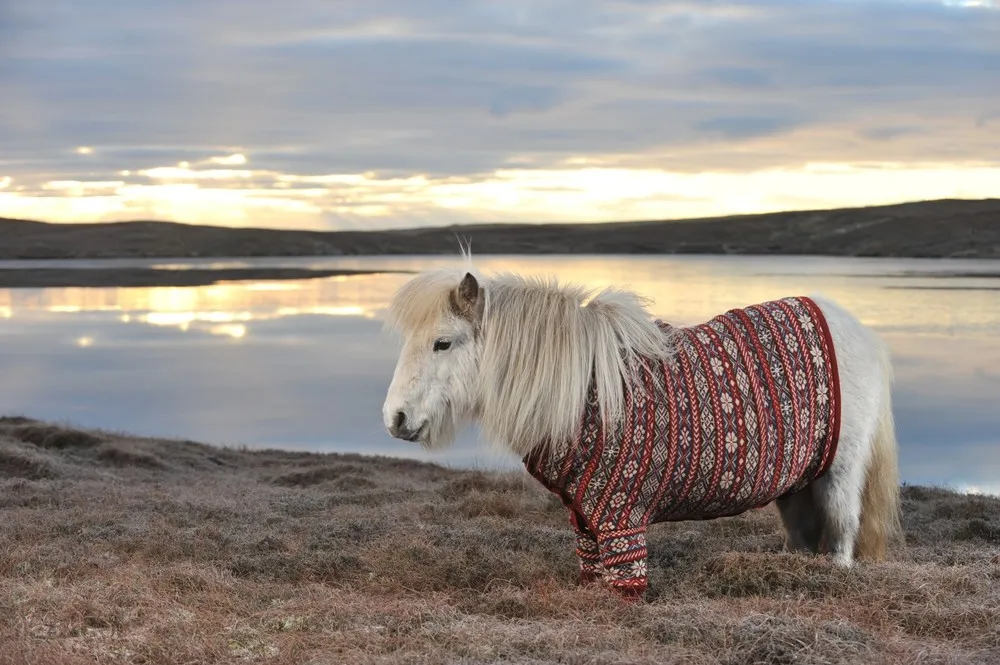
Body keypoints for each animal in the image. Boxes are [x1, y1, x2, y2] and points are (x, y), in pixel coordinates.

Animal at [380, 264, 903, 600]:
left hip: (839, 474)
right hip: (796, 483)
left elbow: (624, 578)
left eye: (442, 343)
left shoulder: (619, 516)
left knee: (842, 533)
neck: (582, 391)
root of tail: (854, 327)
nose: (395, 419)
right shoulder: (587, 517)